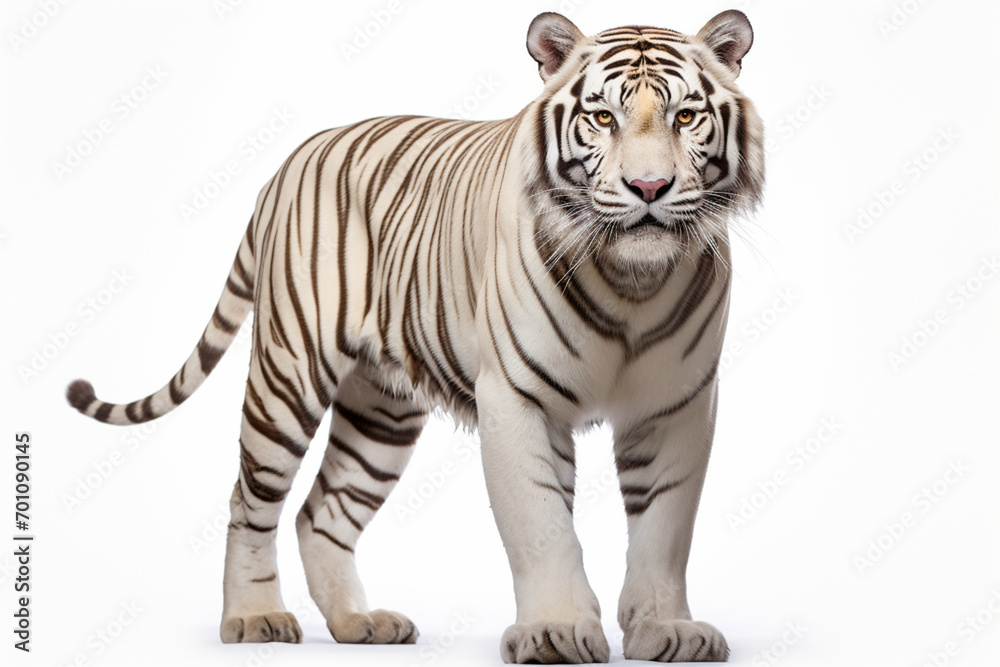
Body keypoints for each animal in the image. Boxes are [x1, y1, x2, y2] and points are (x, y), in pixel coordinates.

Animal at [66, 9, 764, 664]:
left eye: (686, 117)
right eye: (601, 118)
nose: (649, 187)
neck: (632, 280)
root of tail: (292, 160)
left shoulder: (678, 406)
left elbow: (664, 528)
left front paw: (667, 630)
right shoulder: (518, 398)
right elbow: (541, 523)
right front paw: (555, 631)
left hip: (383, 410)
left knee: (322, 512)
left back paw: (358, 623)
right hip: (287, 376)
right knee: (250, 498)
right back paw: (254, 616)